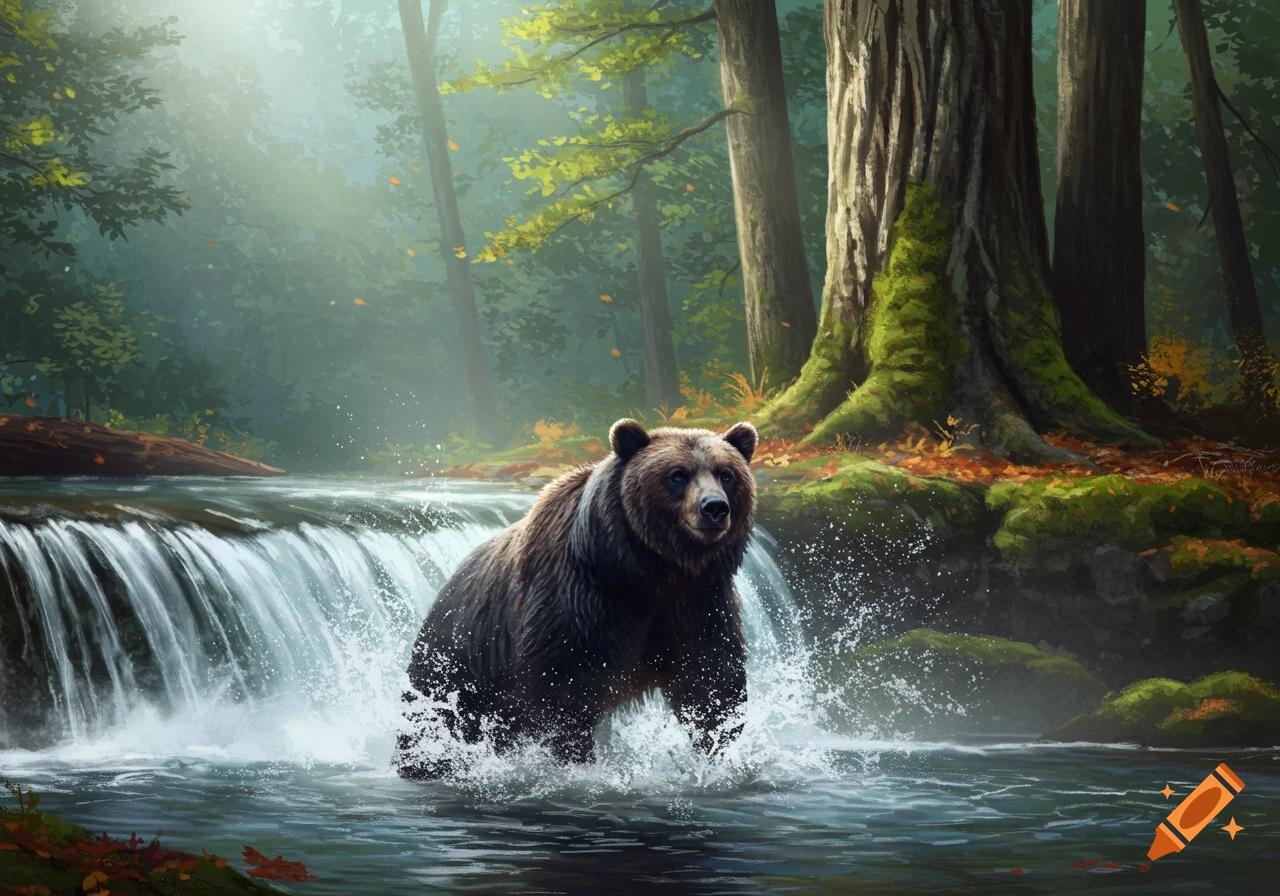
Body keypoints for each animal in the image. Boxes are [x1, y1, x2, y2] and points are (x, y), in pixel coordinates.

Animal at [396, 417, 758, 778]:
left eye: (726, 474)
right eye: (678, 475)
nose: (714, 508)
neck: (646, 569)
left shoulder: (698, 600)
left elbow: (710, 680)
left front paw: (717, 751)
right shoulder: (577, 596)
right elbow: (563, 687)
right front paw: (576, 760)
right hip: (459, 658)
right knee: (433, 717)